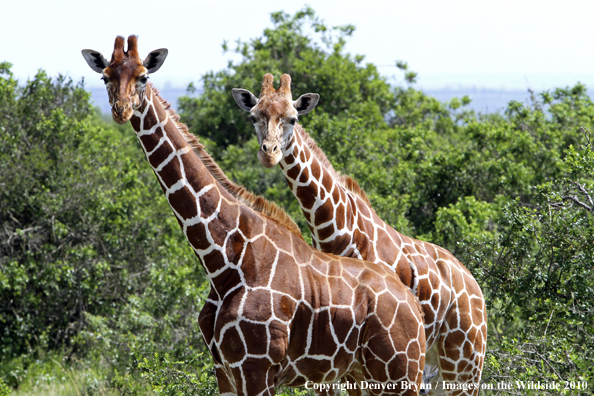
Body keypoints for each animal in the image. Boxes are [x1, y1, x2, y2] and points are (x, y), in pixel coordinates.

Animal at [83, 36, 426, 396]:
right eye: (105, 77)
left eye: (143, 76)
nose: (121, 110)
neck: (223, 260)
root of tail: (414, 304)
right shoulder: (225, 370)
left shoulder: (256, 368)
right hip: (362, 374)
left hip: (399, 372)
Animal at [231, 74, 486, 396]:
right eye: (254, 117)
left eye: (292, 118)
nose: (269, 154)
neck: (335, 231)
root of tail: (476, 287)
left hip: (465, 361)